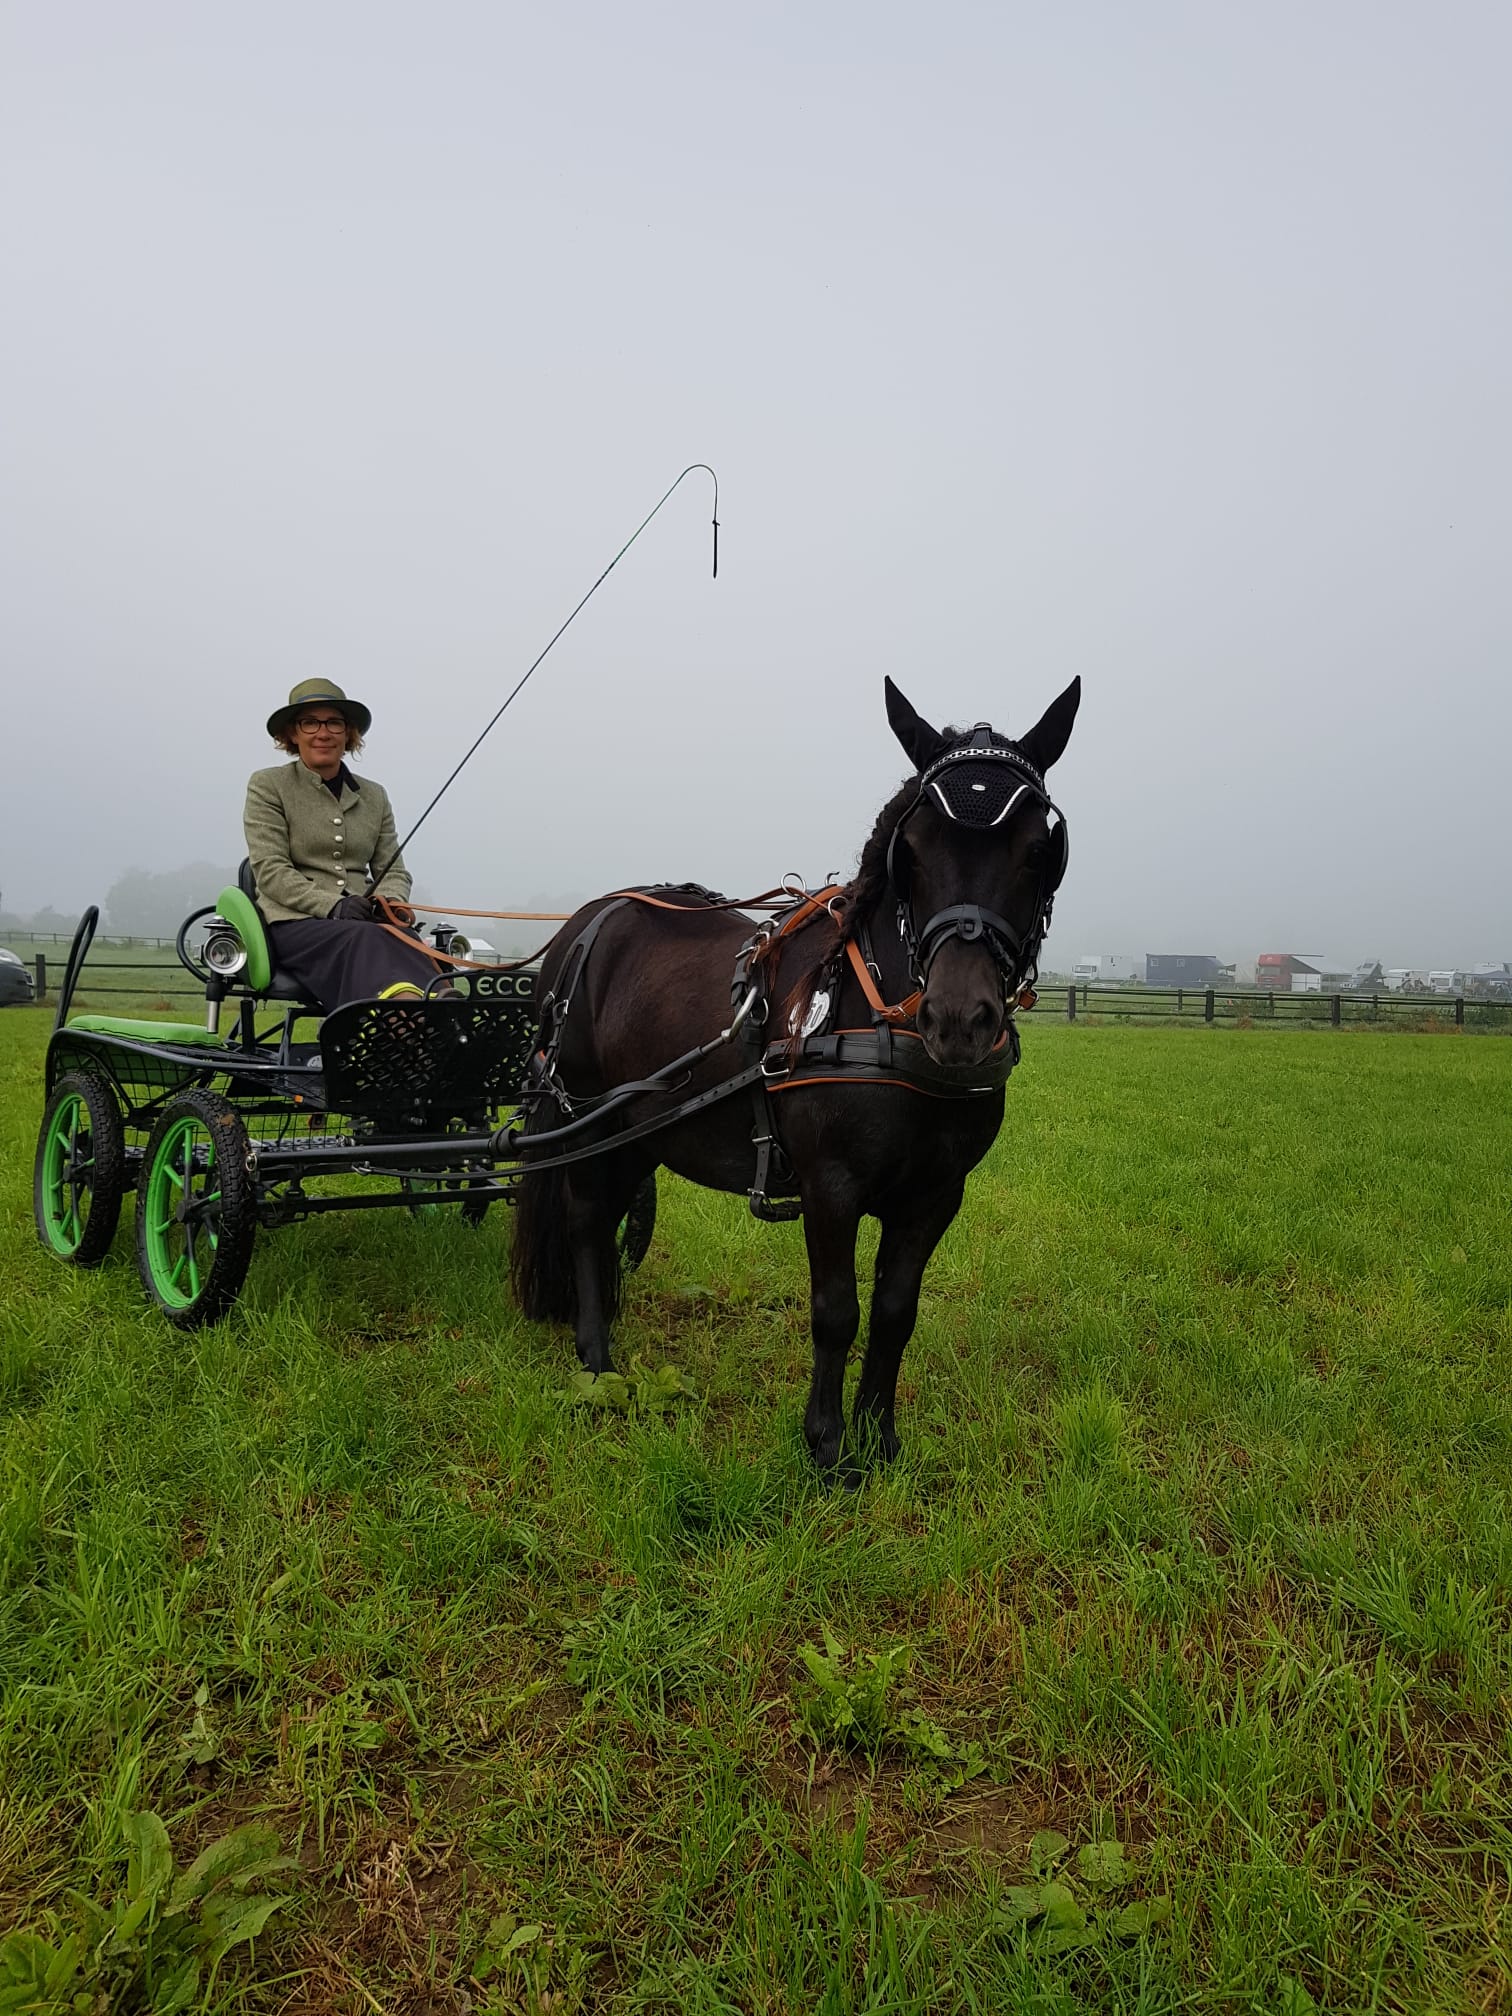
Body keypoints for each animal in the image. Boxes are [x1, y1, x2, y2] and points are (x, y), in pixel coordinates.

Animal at [516, 677, 1080, 1467]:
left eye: (1037, 851)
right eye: (911, 849)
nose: (959, 1020)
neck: (884, 1022)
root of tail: (582, 926)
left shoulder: (936, 1195)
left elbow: (895, 1312)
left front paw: (879, 1437)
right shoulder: (829, 1187)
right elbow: (837, 1311)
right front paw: (828, 1446)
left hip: (639, 1127)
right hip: (583, 1115)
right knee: (587, 1220)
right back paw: (597, 1364)